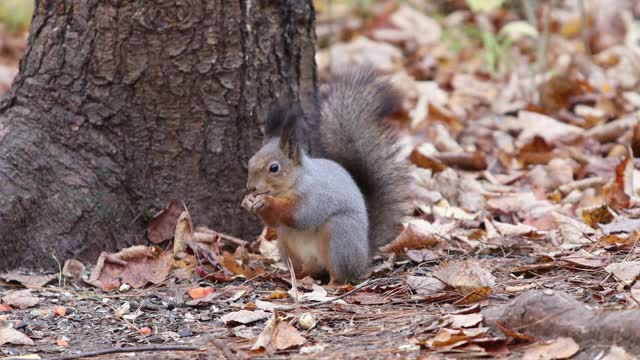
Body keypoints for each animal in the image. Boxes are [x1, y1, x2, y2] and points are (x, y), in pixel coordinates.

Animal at [240, 68, 410, 284]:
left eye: (274, 168)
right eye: (251, 160)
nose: (251, 187)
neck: (295, 182)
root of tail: (363, 257)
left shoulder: (317, 195)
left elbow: (301, 214)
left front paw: (266, 202)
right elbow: (273, 222)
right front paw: (247, 201)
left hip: (338, 237)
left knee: (340, 275)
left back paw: (332, 284)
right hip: (286, 243)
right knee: (307, 270)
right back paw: (295, 277)